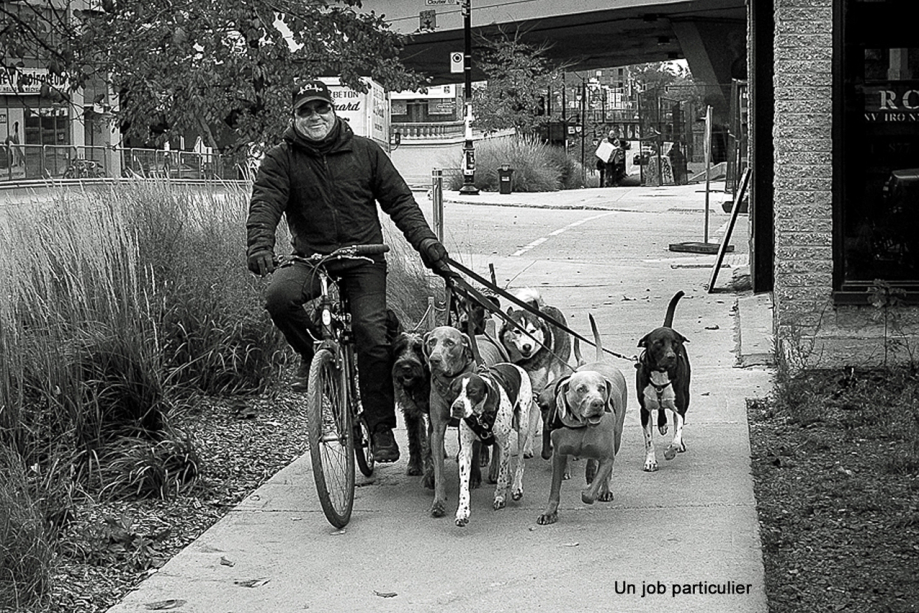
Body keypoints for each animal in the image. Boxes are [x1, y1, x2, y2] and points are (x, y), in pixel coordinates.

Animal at [536, 316, 628, 524]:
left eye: (601, 388)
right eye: (581, 389)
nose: (598, 404)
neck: (581, 427)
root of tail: (600, 361)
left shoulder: (607, 457)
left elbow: (590, 492)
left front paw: (593, 488)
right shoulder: (559, 454)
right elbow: (554, 489)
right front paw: (549, 512)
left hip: (617, 436)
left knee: (604, 470)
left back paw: (602, 487)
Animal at [640, 290, 688, 470]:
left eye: (675, 343)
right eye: (658, 343)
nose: (671, 356)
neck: (661, 374)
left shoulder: (680, 406)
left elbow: (677, 432)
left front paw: (671, 451)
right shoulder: (644, 410)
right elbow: (649, 441)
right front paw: (650, 461)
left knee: (674, 419)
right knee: (661, 409)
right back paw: (661, 424)